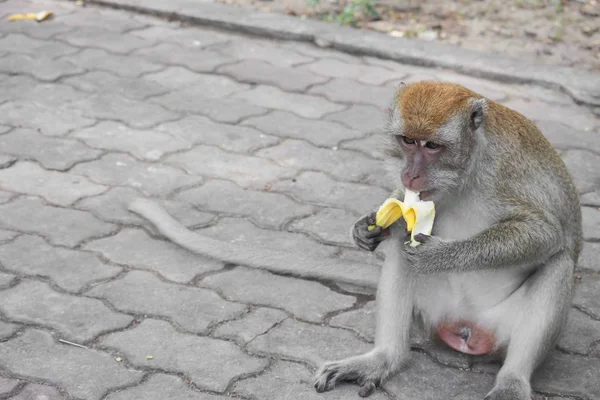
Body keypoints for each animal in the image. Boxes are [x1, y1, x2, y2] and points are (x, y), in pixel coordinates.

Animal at [312, 82, 584, 400]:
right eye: (408, 141)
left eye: (432, 146)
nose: (410, 174)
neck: (469, 167)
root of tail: (467, 328)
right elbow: (403, 217)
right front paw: (368, 225)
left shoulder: (502, 176)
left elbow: (545, 233)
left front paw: (439, 255)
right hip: (434, 313)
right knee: (401, 245)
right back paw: (385, 357)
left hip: (501, 326)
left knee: (559, 262)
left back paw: (512, 381)